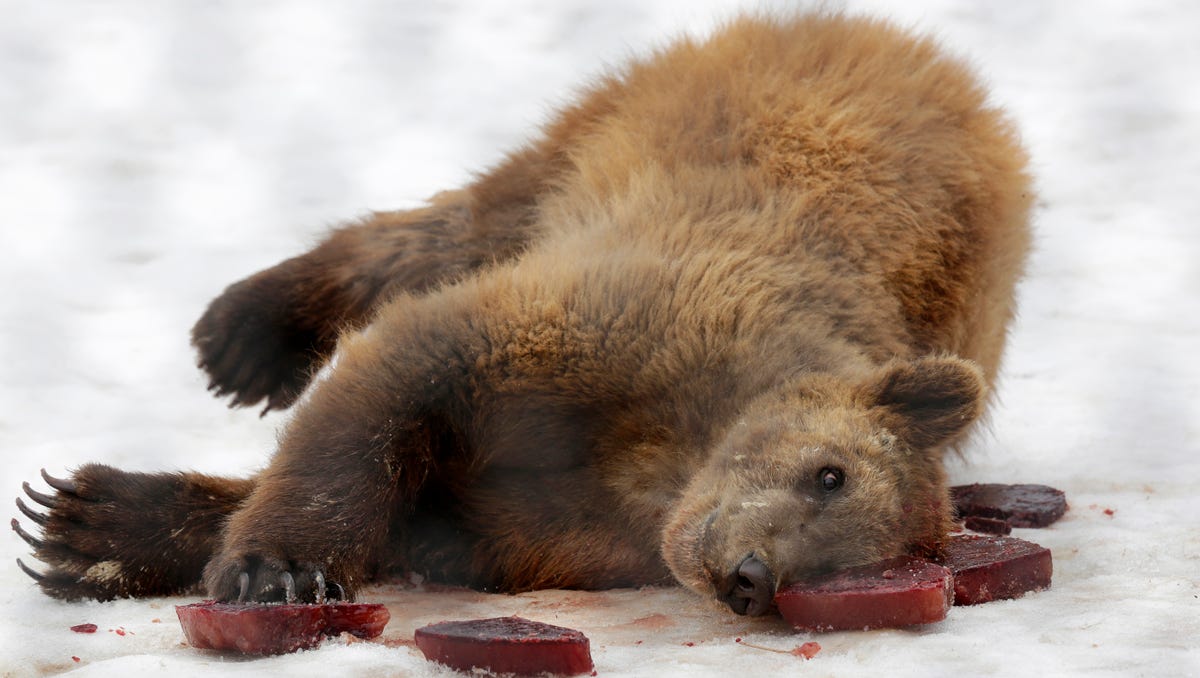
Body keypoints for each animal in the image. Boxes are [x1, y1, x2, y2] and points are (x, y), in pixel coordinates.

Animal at [13, 13, 1031, 617]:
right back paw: (246, 336)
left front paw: (93, 528)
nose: (751, 578)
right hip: (620, 125)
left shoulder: (568, 524)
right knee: (449, 228)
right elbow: (403, 371)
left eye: (853, 569)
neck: (662, 457)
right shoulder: (627, 319)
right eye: (829, 474)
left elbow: (436, 514)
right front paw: (270, 565)